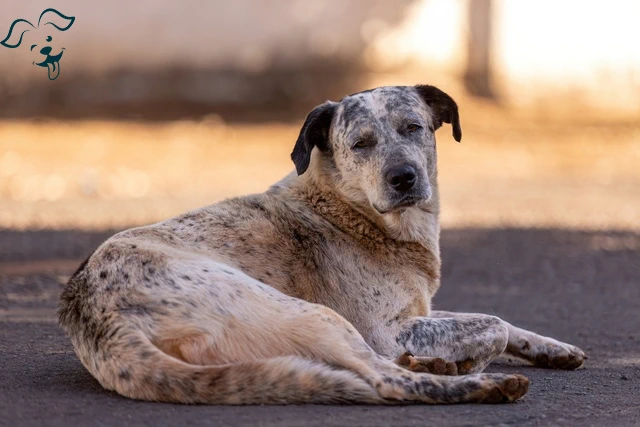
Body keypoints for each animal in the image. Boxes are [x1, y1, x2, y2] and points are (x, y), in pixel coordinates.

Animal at [58, 85, 584, 406]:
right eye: (360, 144)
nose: (403, 178)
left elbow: (503, 322)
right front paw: (471, 361)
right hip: (315, 316)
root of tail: (96, 317)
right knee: (386, 380)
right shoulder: (387, 330)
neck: (348, 210)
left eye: (413, 128)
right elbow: (491, 325)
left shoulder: (420, 312)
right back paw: (482, 383)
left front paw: (553, 348)